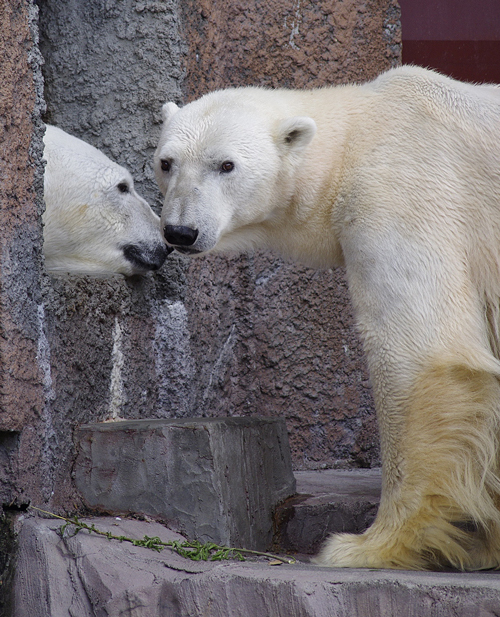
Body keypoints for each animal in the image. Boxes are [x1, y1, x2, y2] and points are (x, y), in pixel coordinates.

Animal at [153, 65, 500, 572]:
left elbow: (420, 353)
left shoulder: (406, 189)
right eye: (166, 162)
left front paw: (369, 546)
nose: (181, 231)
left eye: (227, 165)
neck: (358, 133)